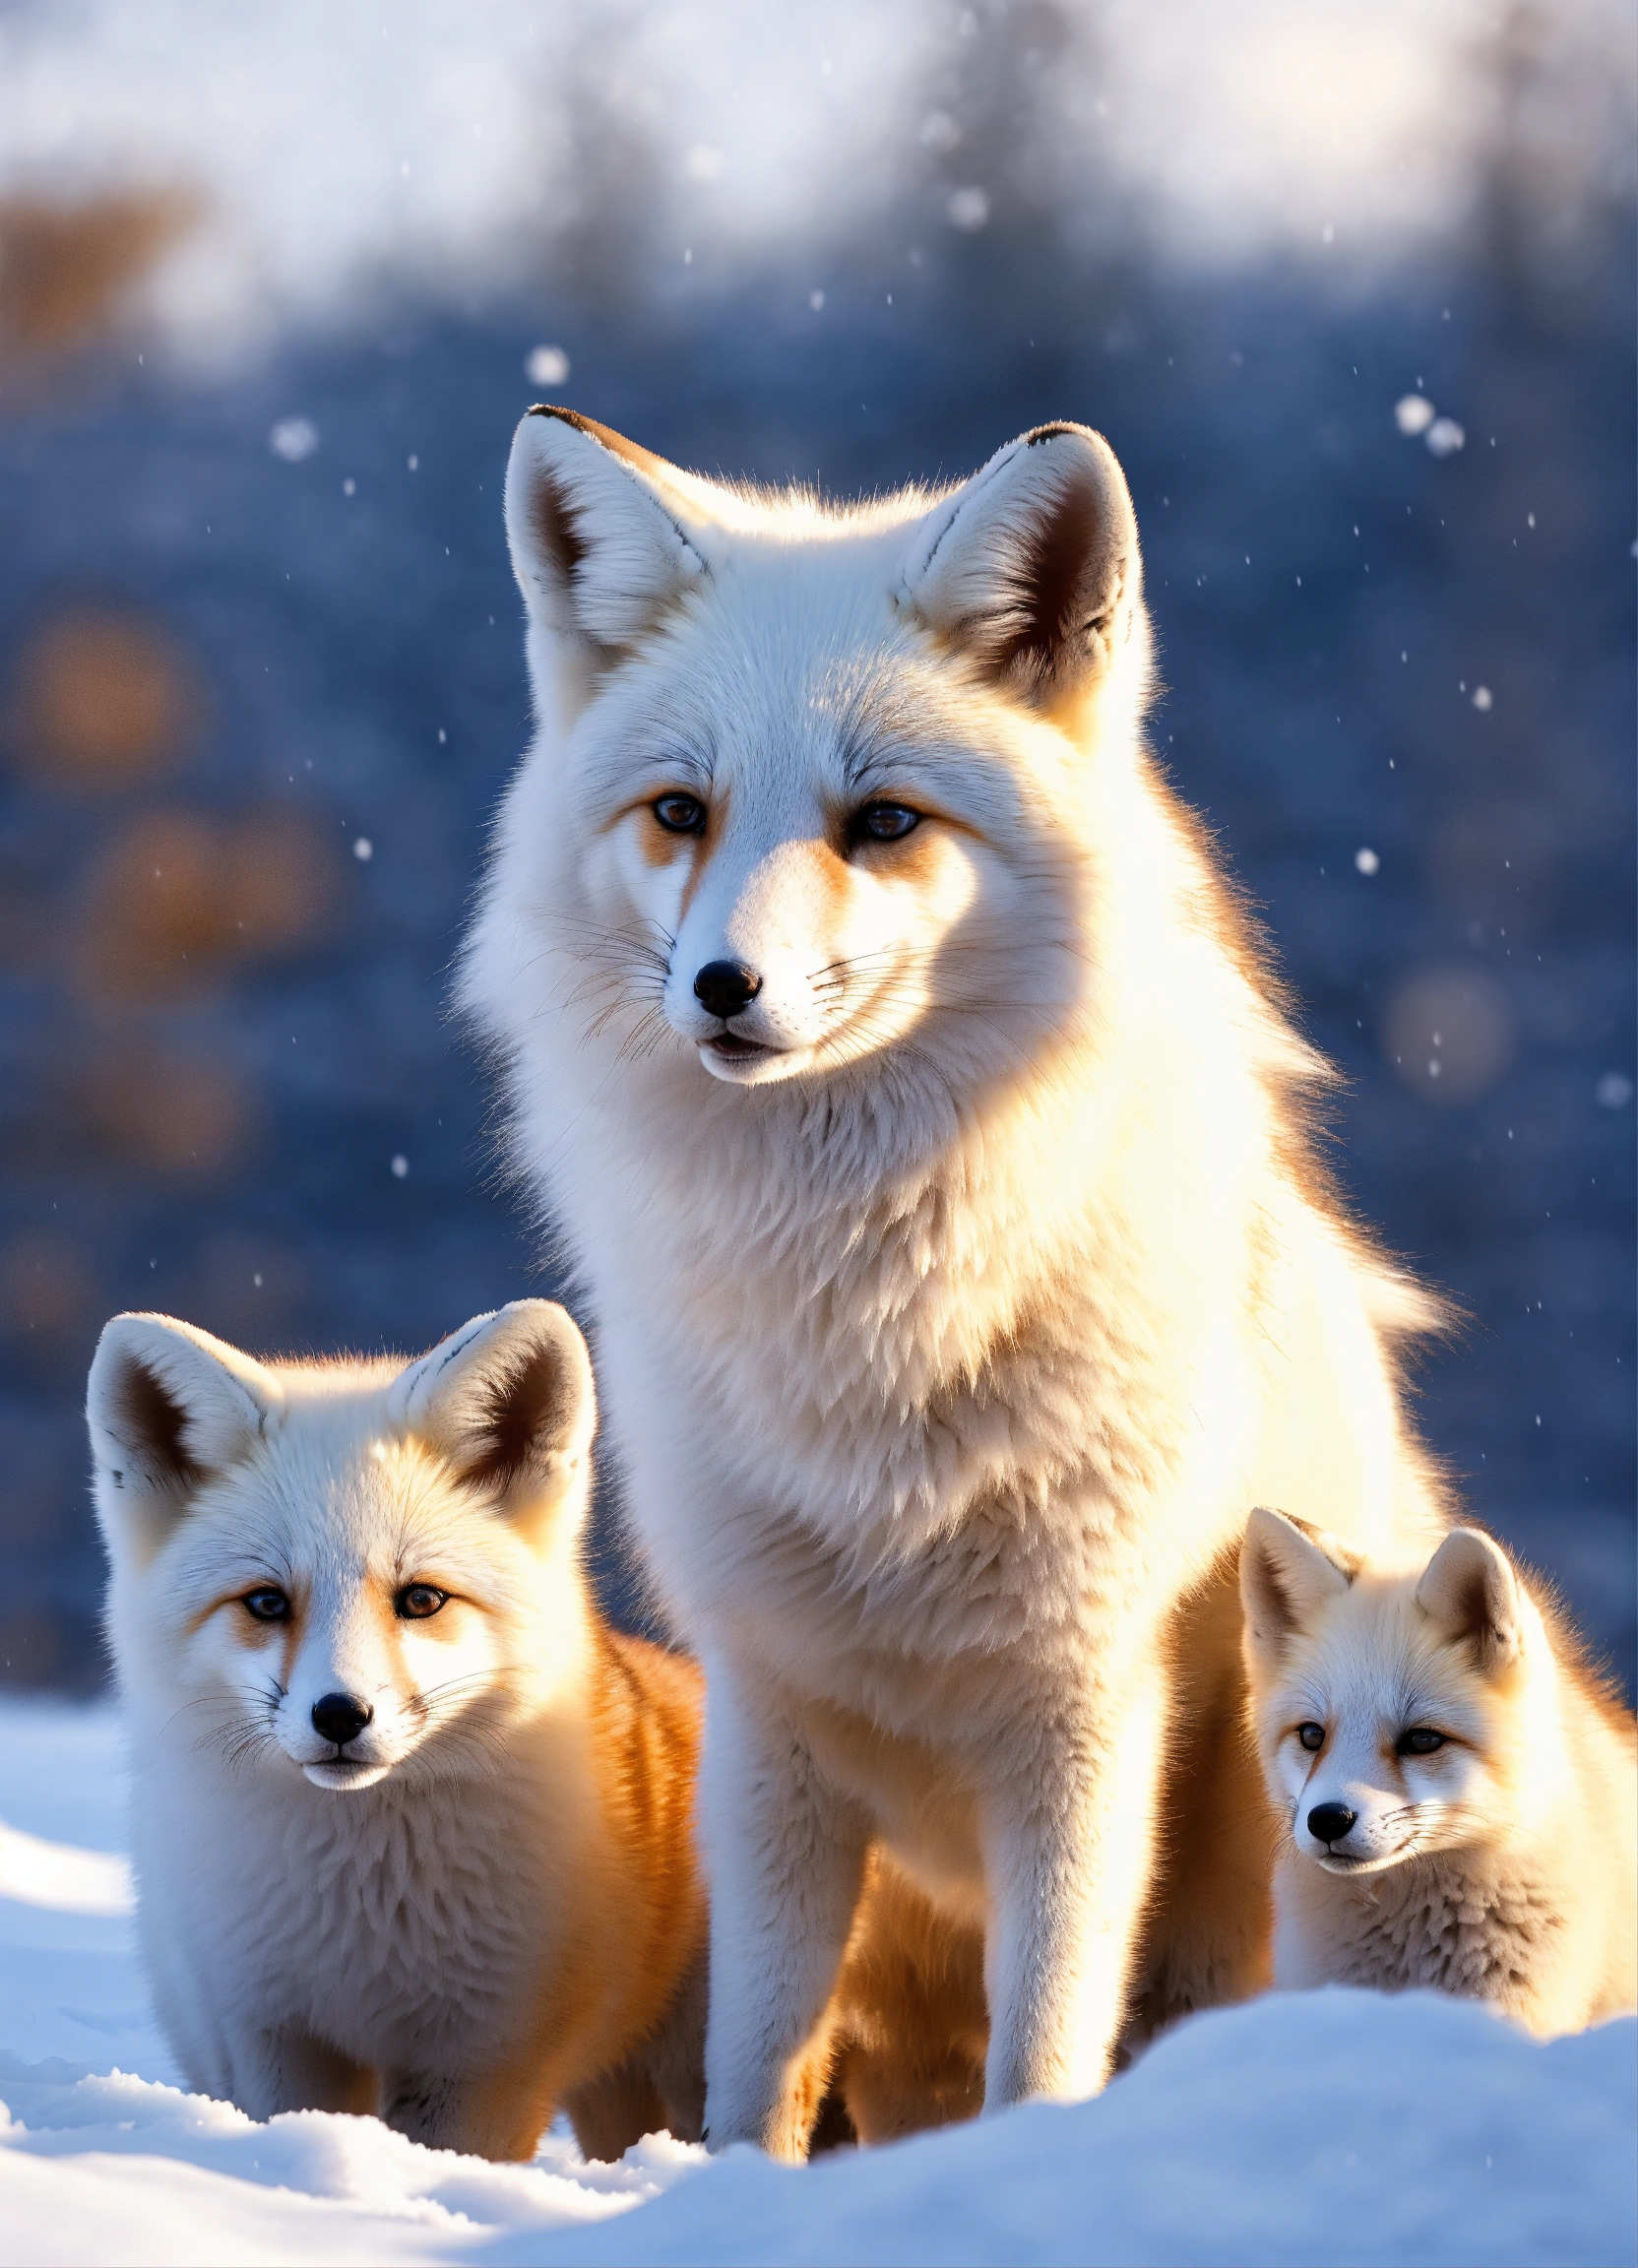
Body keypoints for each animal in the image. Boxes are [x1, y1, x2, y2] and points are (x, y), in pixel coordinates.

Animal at [459, 405, 1453, 2155]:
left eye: (885, 822)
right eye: (679, 813)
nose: (724, 988)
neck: (871, 1336)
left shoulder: (1085, 1715)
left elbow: (1044, 2052)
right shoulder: (772, 1714)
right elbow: (758, 2060)